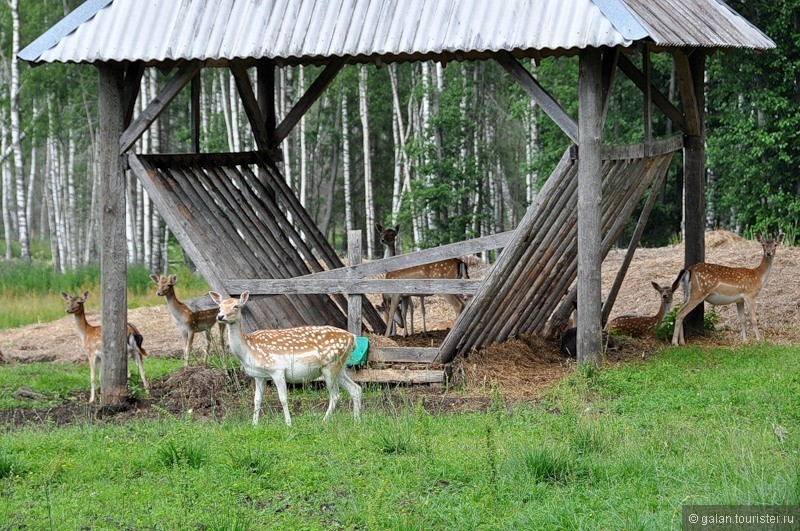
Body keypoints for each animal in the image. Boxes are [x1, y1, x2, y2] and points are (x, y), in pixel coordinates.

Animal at [208, 290, 360, 428]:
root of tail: (353, 337)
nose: (220, 316)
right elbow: (257, 400)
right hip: (340, 366)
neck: (248, 350)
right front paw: (254, 425)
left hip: (330, 365)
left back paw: (323, 422)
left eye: (236, 306)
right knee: (356, 389)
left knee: (335, 396)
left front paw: (288, 424)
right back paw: (356, 421)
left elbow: (283, 398)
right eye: (219, 306)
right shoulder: (259, 375)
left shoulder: (277, 370)